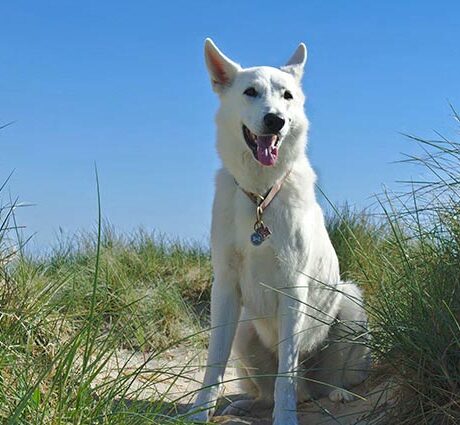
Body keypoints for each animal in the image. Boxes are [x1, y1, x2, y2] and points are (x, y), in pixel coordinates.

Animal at [188, 39, 370, 424]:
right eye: (250, 92)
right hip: (245, 330)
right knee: (267, 390)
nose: (276, 120)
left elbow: (287, 369)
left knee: (322, 381)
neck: (260, 195)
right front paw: (198, 411)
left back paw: (337, 394)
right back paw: (246, 404)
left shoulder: (293, 288)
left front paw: (285, 418)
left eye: (287, 95)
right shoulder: (224, 287)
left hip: (349, 302)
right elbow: (214, 362)